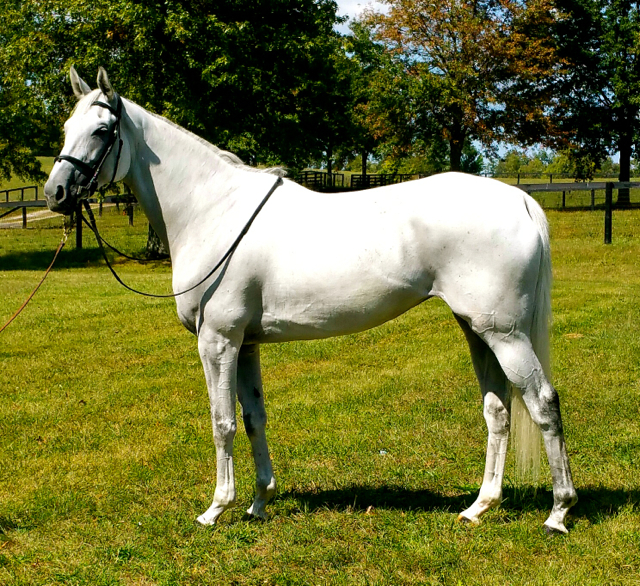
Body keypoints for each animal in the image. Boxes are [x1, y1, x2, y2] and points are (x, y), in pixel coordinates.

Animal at [44, 67, 577, 533]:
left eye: (102, 130)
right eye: (67, 128)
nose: (56, 193)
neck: (212, 210)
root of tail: (520, 200)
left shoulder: (217, 341)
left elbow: (222, 422)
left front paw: (216, 509)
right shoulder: (246, 345)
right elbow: (254, 419)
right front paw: (259, 502)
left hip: (505, 335)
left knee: (543, 404)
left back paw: (558, 512)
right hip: (477, 330)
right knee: (498, 411)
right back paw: (479, 507)